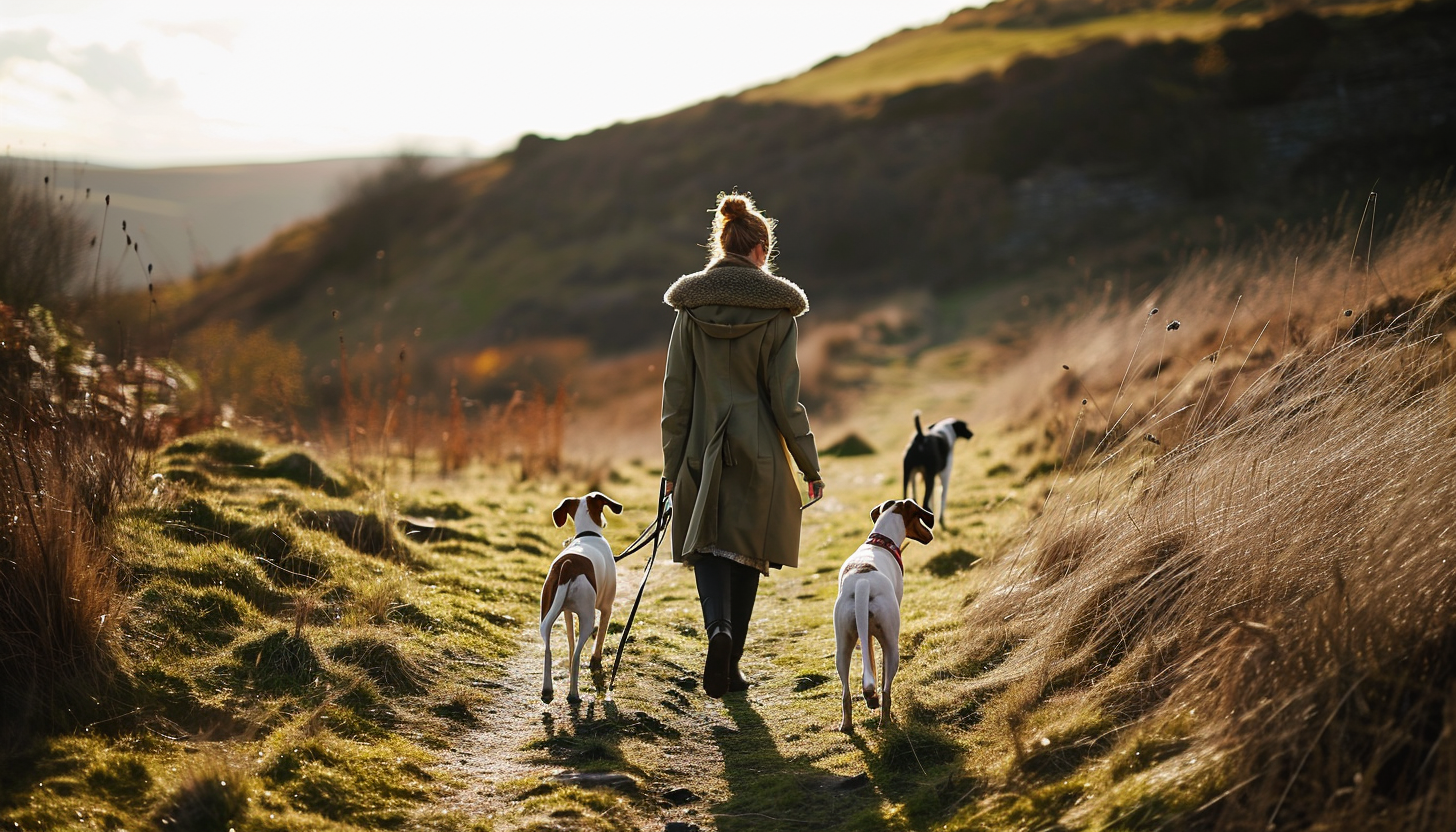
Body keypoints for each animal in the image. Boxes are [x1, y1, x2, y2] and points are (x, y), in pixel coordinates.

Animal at [541, 492, 620, 705]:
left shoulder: (567, 612)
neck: (588, 534)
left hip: (546, 616)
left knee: (549, 650)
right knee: (577, 655)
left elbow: (570, 642)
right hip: (587, 618)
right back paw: (574, 694)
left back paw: (547, 689)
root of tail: (568, 564)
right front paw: (596, 663)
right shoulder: (606, 609)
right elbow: (599, 641)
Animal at [838, 498, 937, 731]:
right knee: (886, 690)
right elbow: (882, 678)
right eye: (920, 516)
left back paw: (848, 723)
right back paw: (886, 721)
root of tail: (863, 582)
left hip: (842, 647)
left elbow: (871, 663)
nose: (930, 535)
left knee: (846, 692)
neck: (880, 541)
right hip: (892, 647)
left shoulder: (866, 636)